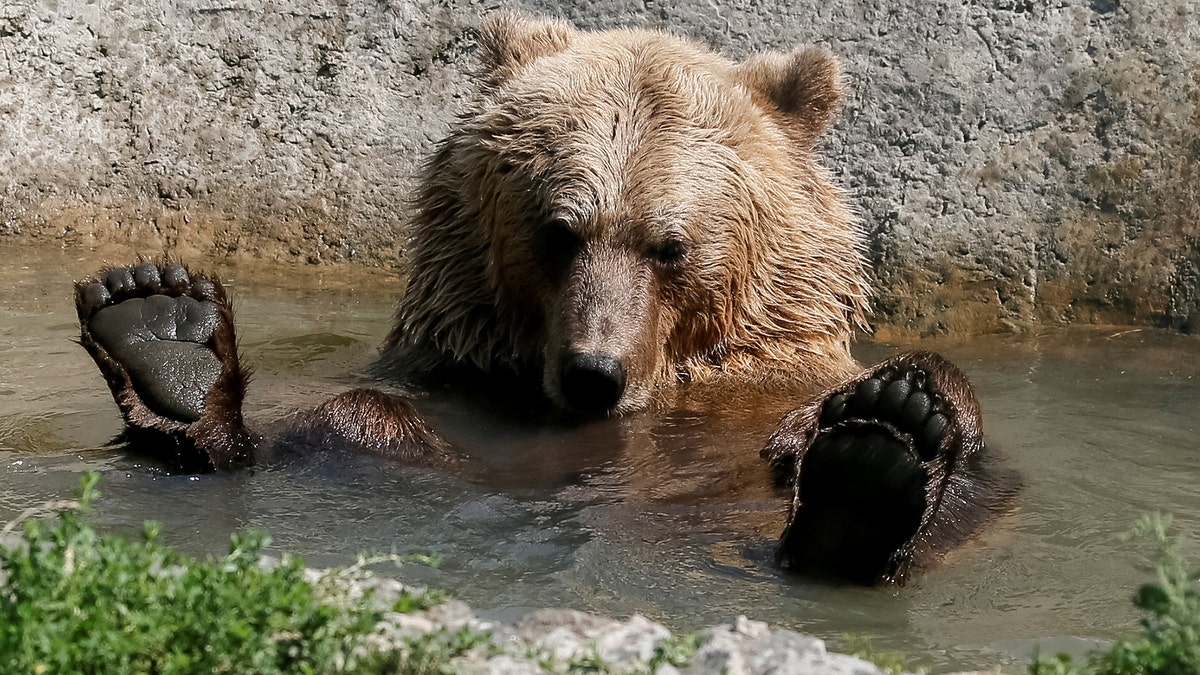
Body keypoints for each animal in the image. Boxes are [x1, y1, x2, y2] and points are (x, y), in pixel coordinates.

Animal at [72, 14, 1012, 583]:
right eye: (560, 230)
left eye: (669, 245)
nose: (595, 372)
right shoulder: (454, 374)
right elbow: (342, 413)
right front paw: (165, 333)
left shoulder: (762, 378)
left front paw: (896, 416)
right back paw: (166, 345)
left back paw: (873, 466)